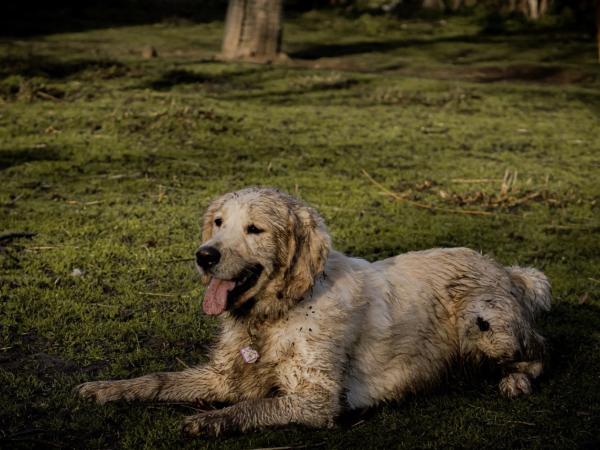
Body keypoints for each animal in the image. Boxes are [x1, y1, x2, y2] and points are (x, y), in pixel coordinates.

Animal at [77, 186, 552, 436]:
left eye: (255, 229)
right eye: (218, 223)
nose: (204, 256)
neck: (276, 313)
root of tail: (506, 269)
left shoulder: (316, 400)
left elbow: (251, 407)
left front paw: (208, 420)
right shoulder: (224, 376)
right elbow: (157, 380)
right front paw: (108, 389)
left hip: (486, 323)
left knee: (539, 350)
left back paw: (515, 380)